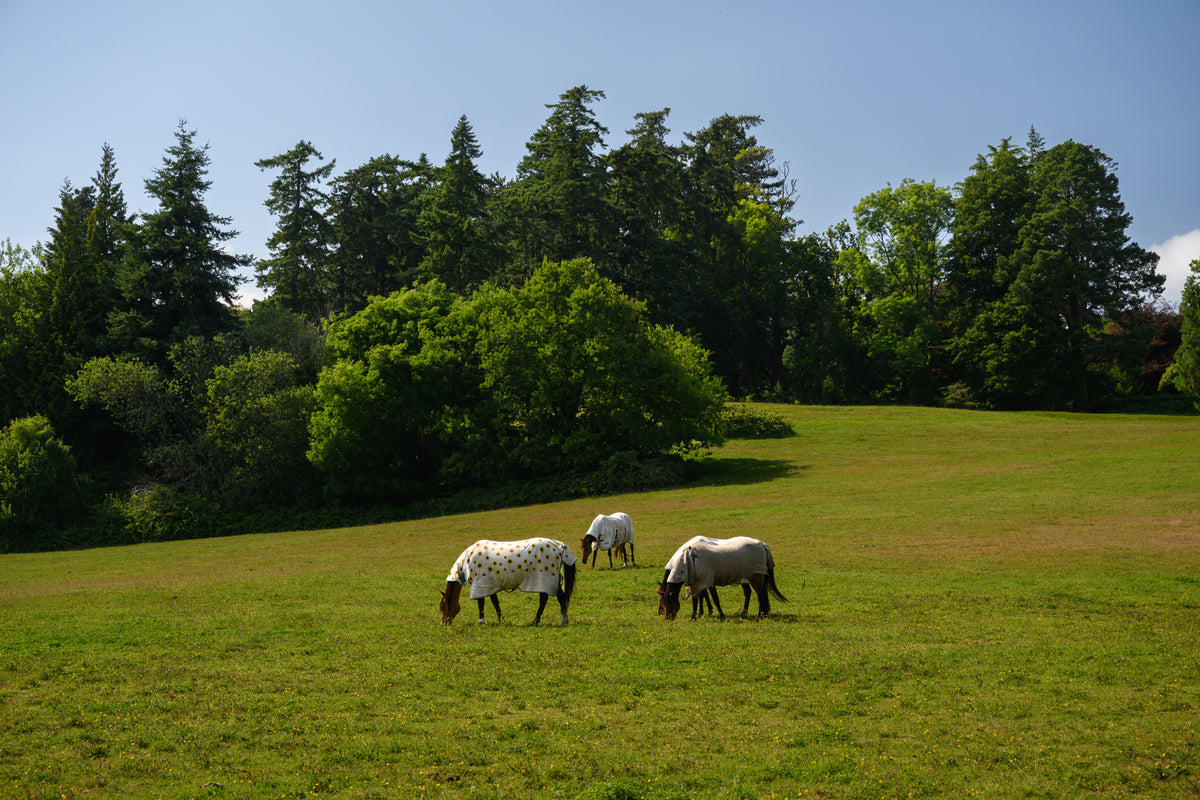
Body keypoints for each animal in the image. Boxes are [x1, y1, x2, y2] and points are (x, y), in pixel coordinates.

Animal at [439, 538, 578, 625]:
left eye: (444, 606)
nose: (443, 623)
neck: (468, 560)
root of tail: (559, 546)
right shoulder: (490, 585)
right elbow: (495, 603)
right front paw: (501, 620)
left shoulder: (480, 584)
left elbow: (481, 603)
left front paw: (481, 621)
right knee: (554, 598)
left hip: (546, 581)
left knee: (551, 599)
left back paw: (546, 621)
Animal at [657, 536, 786, 621]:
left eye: (667, 602)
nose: (666, 617)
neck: (688, 559)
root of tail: (763, 545)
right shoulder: (697, 583)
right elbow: (696, 599)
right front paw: (696, 616)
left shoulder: (707, 582)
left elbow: (714, 599)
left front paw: (719, 615)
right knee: (757, 593)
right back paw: (759, 613)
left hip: (755, 577)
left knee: (760, 594)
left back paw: (760, 615)